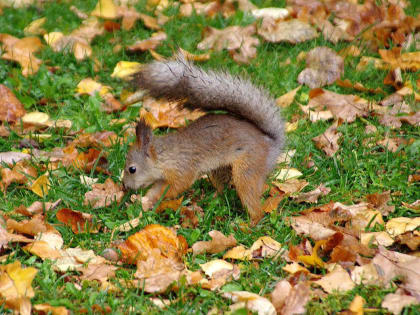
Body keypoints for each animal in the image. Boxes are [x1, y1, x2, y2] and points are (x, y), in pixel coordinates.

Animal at [123, 55, 284, 227]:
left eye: (132, 169)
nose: (125, 186)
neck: (164, 156)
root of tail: (271, 144)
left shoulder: (183, 169)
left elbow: (176, 187)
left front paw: (156, 198)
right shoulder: (163, 177)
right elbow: (155, 189)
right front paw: (144, 201)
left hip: (248, 170)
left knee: (254, 205)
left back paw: (248, 224)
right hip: (220, 170)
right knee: (222, 189)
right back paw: (211, 199)